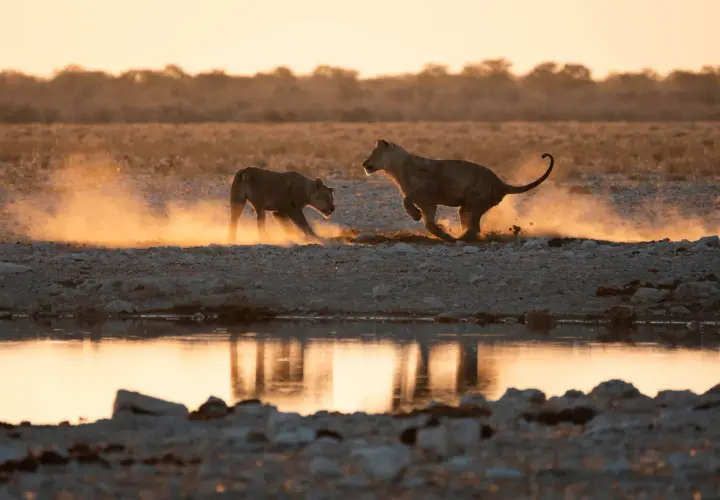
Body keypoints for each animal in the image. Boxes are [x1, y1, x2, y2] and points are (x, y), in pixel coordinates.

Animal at [362, 140, 554, 242]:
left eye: (374, 153)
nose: (364, 163)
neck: (396, 169)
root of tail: (501, 183)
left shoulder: (429, 188)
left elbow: (407, 200)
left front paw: (415, 216)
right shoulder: (428, 203)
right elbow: (428, 223)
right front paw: (443, 234)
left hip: (474, 202)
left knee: (474, 227)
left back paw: (462, 238)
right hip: (466, 208)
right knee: (470, 224)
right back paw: (459, 236)